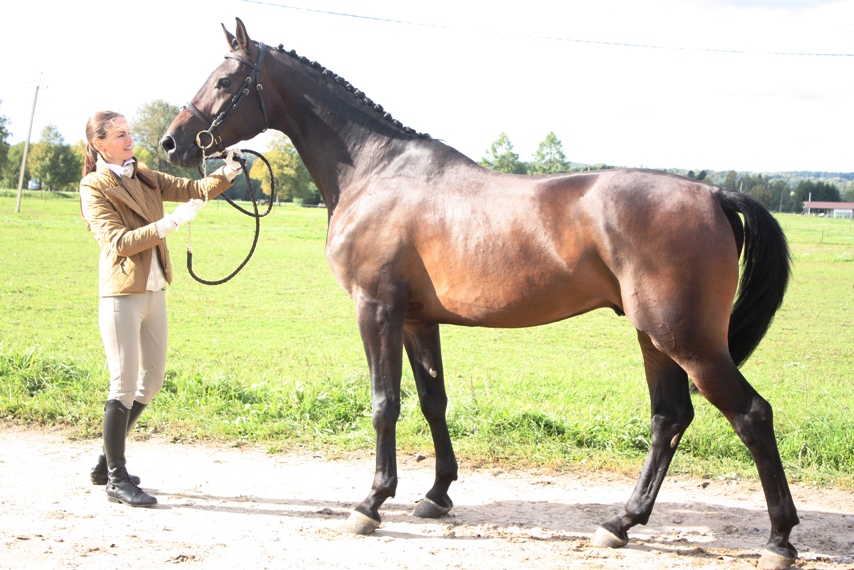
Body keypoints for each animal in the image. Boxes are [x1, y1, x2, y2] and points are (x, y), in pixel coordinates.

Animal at [162, 17, 804, 568]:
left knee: (751, 415)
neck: (375, 172)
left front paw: (371, 502)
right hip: (656, 338)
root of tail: (714, 194)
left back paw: (778, 539)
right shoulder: (417, 320)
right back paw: (621, 523)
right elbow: (432, 401)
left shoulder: (376, 310)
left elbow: (384, 403)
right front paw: (437, 494)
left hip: (688, 341)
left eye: (224, 81)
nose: (172, 145)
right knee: (669, 419)